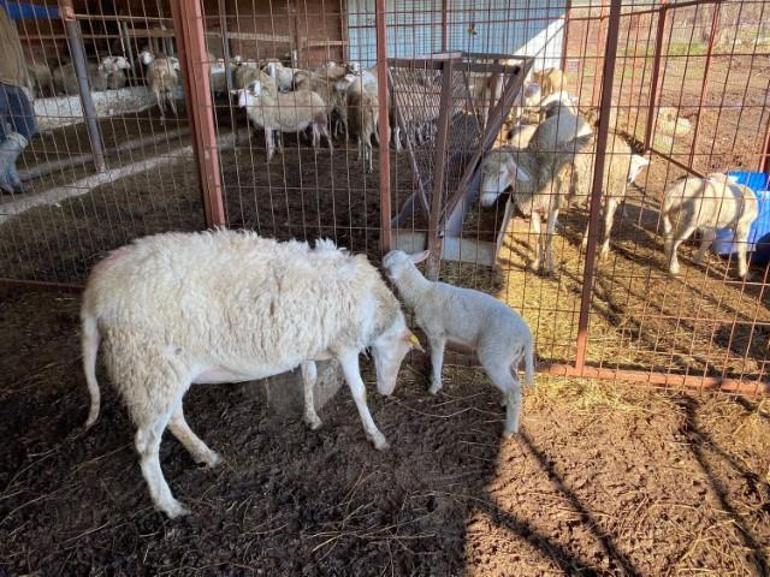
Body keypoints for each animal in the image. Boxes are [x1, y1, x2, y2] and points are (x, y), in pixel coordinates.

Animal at [82, 230, 420, 516]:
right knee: (146, 444)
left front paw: (311, 417)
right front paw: (376, 436)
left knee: (174, 419)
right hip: (148, 365)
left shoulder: (309, 344)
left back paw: (204, 455)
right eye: (400, 354)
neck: (372, 303)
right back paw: (169, 504)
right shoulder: (346, 344)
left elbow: (309, 378)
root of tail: (95, 290)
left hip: (161, 373)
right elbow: (358, 392)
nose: (388, 390)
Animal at [380, 250, 536, 434]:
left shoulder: (437, 333)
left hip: (495, 354)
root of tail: (526, 335)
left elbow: (437, 359)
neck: (423, 293)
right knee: (515, 383)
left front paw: (434, 386)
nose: (382, 257)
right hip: (511, 358)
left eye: (390, 259)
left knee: (513, 391)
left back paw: (509, 431)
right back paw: (504, 403)